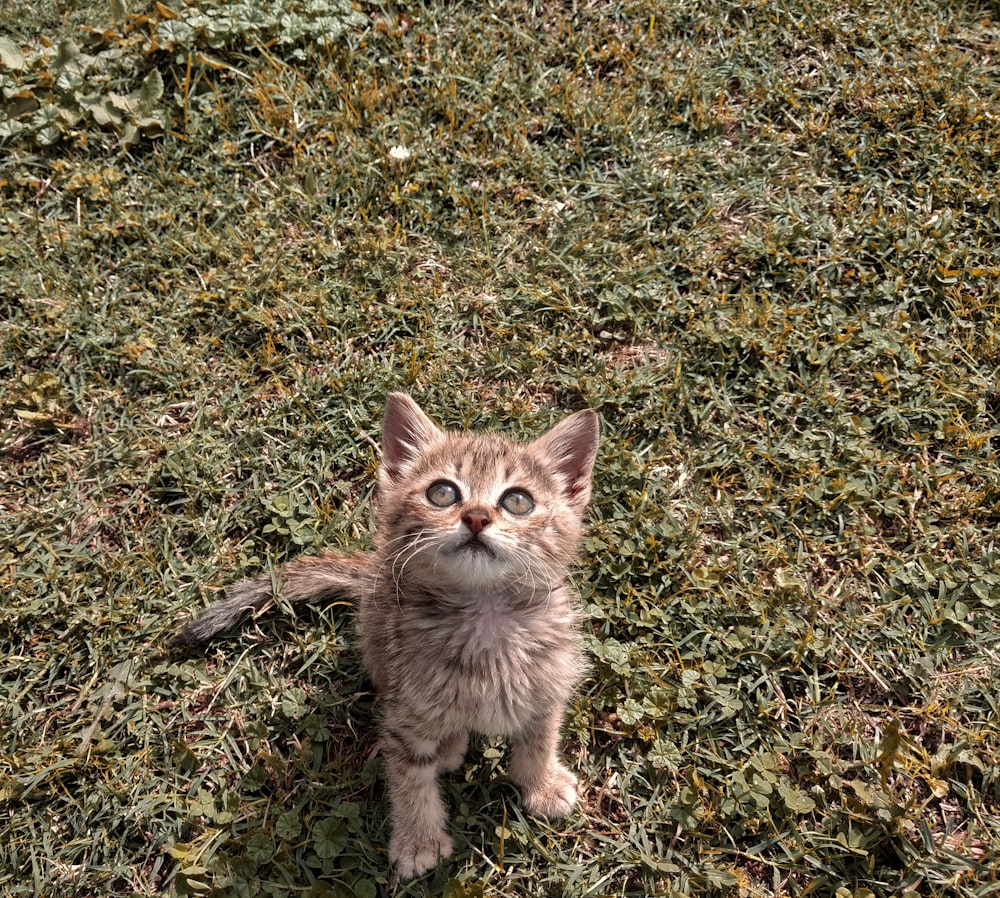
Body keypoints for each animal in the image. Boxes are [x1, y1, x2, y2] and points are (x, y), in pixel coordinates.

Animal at [174, 392, 600, 876]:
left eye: (518, 501)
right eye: (442, 493)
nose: (475, 517)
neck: (485, 616)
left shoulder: (550, 684)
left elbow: (540, 738)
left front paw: (541, 783)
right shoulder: (404, 715)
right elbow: (409, 778)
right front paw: (418, 839)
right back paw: (450, 744)